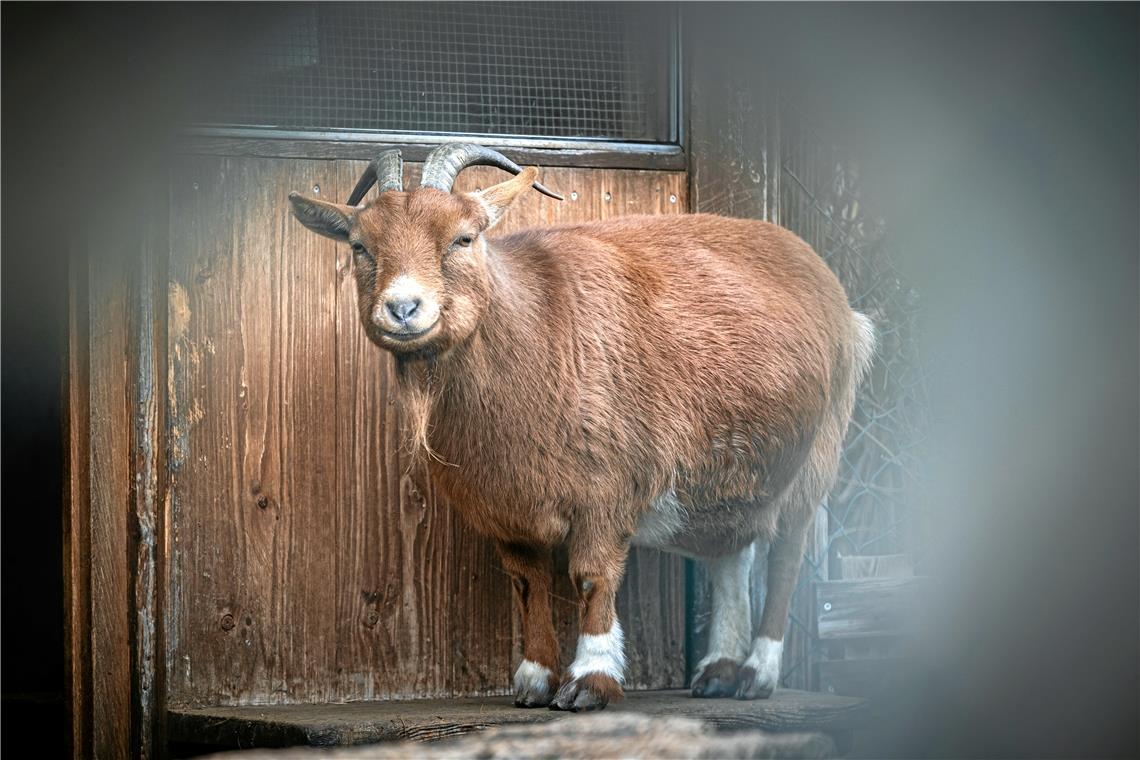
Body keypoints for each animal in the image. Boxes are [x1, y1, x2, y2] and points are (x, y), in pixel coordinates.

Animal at [287, 144, 870, 715]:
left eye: (463, 237)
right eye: (360, 246)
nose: (403, 307)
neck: (534, 328)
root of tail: (838, 296)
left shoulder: (606, 489)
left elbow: (592, 576)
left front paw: (591, 681)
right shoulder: (508, 510)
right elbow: (528, 582)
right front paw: (534, 680)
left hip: (818, 455)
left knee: (787, 553)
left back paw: (756, 673)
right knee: (732, 552)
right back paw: (719, 671)